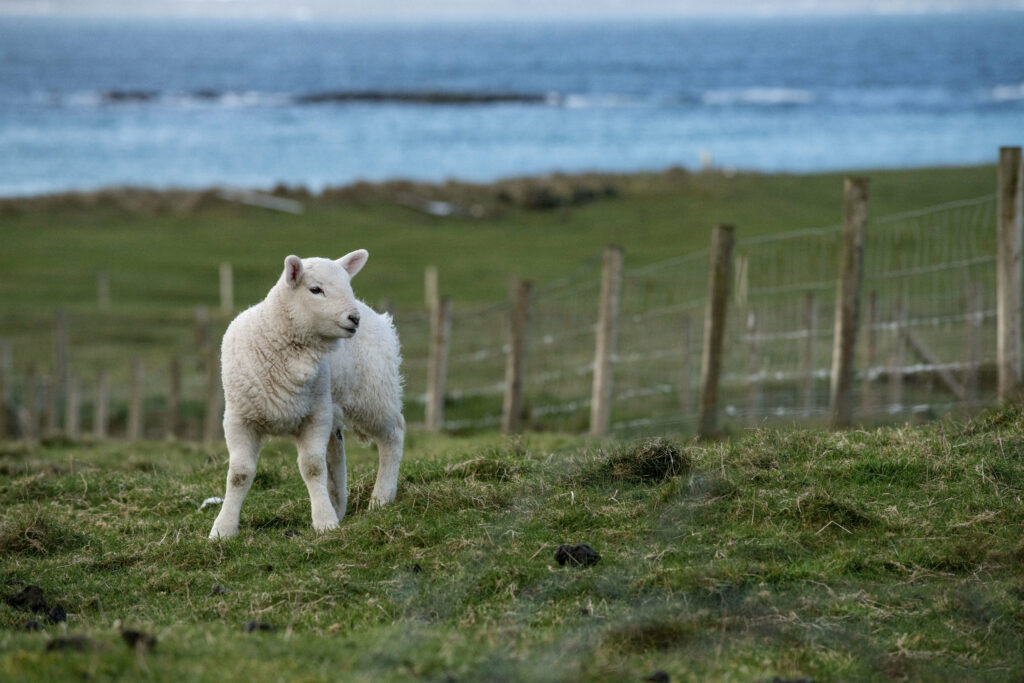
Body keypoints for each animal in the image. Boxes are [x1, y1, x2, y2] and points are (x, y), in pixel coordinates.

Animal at [208, 250, 405, 539]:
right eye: (316, 289)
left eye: (348, 285)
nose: (354, 319)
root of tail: (380, 318)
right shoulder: (239, 418)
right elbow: (239, 474)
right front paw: (223, 529)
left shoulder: (314, 415)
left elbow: (313, 467)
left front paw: (324, 522)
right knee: (337, 453)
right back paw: (339, 504)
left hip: (372, 393)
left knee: (393, 435)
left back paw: (381, 498)